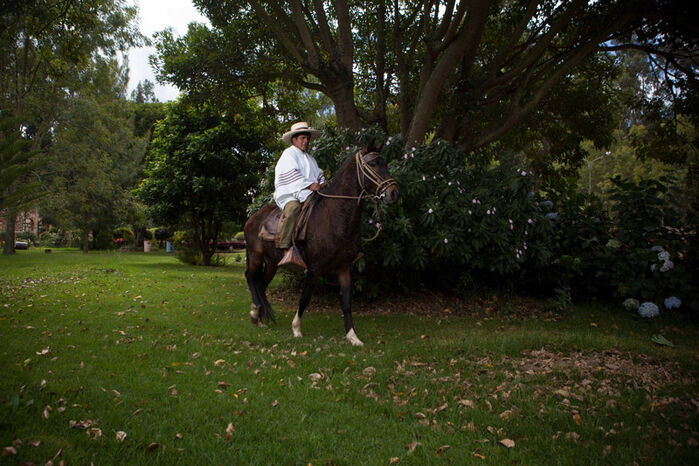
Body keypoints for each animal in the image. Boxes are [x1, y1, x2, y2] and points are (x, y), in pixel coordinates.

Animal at [245, 146, 400, 346]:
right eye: (372, 163)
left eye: (384, 163)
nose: (393, 193)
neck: (334, 217)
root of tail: (252, 218)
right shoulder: (314, 268)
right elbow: (305, 298)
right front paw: (296, 329)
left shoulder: (344, 268)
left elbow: (346, 303)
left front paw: (353, 337)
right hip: (255, 256)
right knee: (250, 277)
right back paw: (254, 312)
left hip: (272, 263)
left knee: (261, 284)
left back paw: (259, 317)